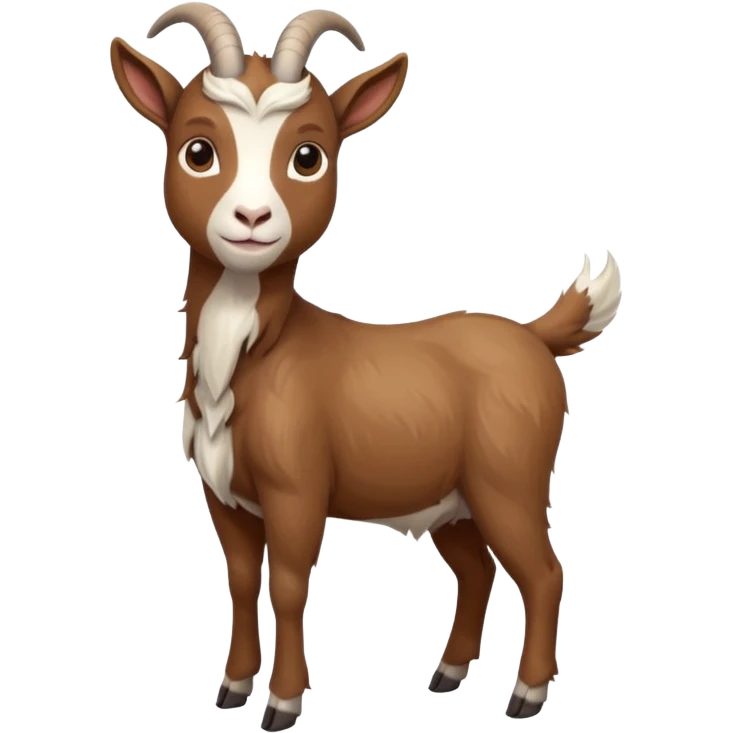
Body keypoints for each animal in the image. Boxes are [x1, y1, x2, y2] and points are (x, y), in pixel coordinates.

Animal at [110, 4, 623, 728]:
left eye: (308, 155)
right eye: (197, 150)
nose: (251, 218)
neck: (258, 352)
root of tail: (532, 337)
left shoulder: (296, 491)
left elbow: (288, 584)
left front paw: (283, 701)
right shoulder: (224, 495)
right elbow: (241, 580)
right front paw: (233, 688)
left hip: (510, 481)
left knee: (544, 571)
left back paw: (525, 694)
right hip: (453, 500)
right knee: (477, 570)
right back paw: (447, 673)